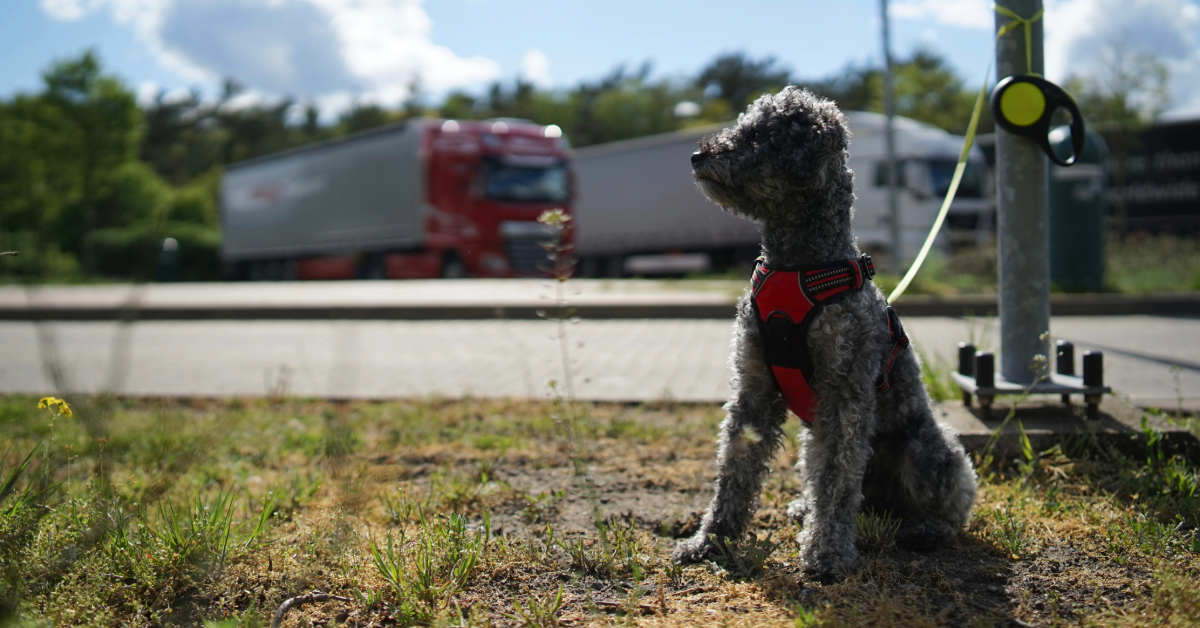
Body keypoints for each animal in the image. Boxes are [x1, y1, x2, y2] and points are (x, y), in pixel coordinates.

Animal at [676, 87, 974, 585]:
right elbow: (735, 467)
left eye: (759, 137)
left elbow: (835, 478)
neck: (797, 267)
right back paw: (803, 507)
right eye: (742, 127)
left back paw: (927, 530)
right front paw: (711, 539)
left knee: (945, 503)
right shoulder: (753, 390)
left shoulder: (842, 395)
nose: (699, 155)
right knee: (841, 493)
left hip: (929, 451)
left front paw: (826, 554)